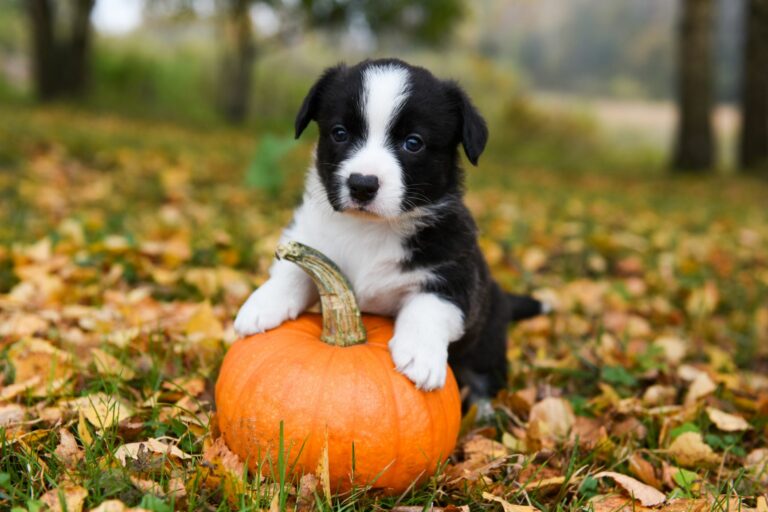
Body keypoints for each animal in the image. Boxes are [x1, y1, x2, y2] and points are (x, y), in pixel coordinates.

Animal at [234, 57, 544, 408]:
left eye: (413, 143)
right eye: (339, 133)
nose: (362, 184)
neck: (370, 229)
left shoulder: (455, 273)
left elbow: (429, 307)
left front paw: (420, 355)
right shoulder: (310, 235)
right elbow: (295, 270)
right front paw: (262, 304)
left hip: (486, 341)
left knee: (484, 380)